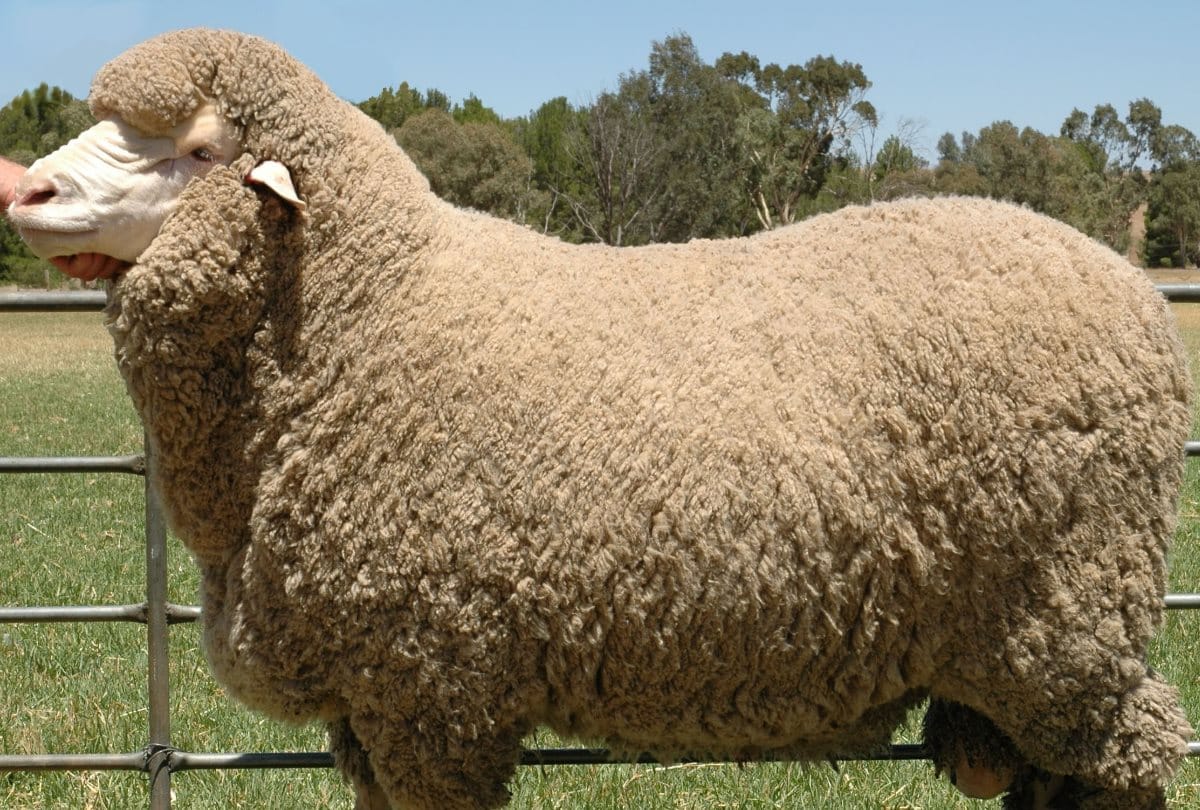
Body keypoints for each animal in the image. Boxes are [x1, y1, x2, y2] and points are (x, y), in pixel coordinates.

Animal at [7, 28, 1193, 810]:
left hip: (1061, 620)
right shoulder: (374, 702)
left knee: (1135, 755)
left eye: (198, 148)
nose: (23, 189)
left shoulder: (434, 685)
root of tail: (1131, 289)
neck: (368, 312)